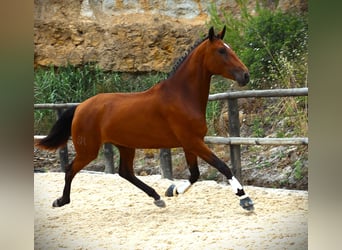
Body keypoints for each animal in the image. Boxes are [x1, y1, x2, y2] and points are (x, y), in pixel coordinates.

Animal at [35, 26, 254, 211]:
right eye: (221, 51)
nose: (245, 76)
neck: (182, 96)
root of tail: (80, 106)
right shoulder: (193, 141)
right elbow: (222, 166)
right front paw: (244, 198)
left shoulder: (190, 143)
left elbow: (194, 174)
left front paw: (172, 190)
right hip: (88, 149)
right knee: (70, 169)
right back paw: (61, 201)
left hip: (125, 145)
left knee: (125, 172)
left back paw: (157, 197)